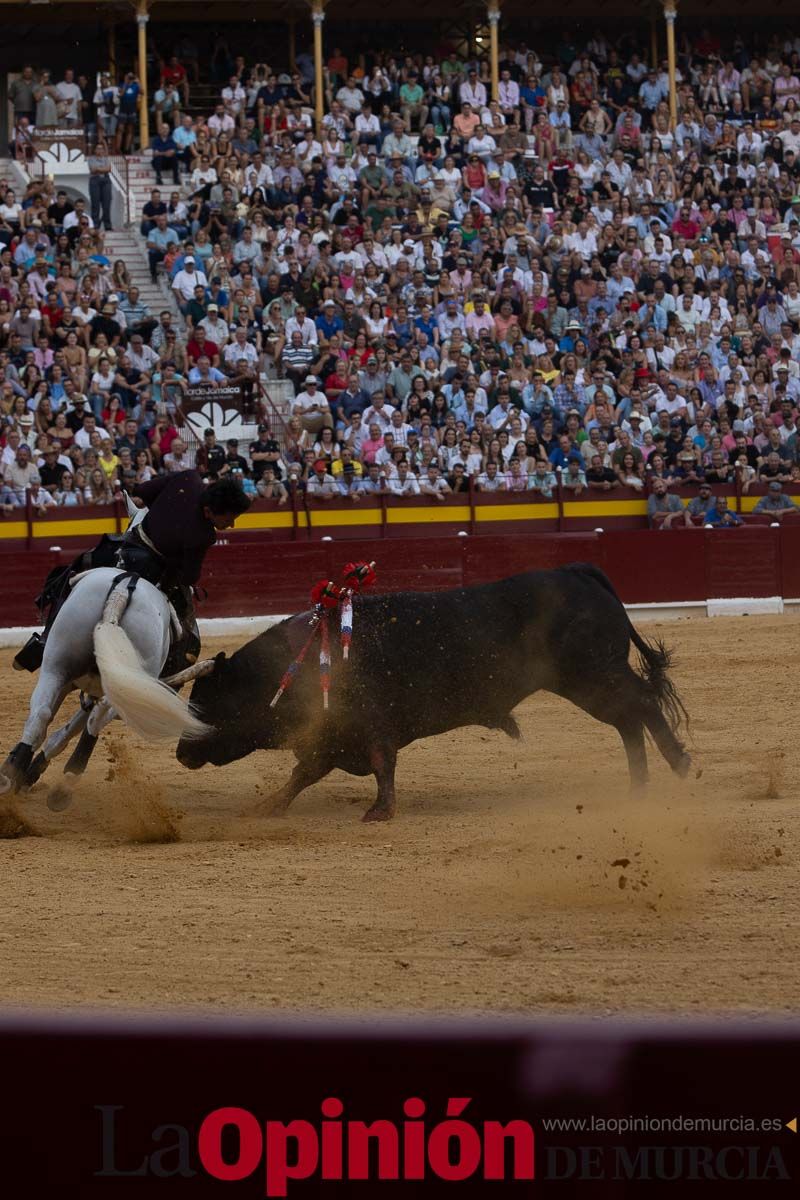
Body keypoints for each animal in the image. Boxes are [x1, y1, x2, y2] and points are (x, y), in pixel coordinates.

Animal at [0, 564, 209, 811]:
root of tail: (122, 591)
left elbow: (59, 733)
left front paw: (25, 776)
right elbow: (63, 733)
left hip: (57, 667)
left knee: (43, 714)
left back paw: (16, 777)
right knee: (91, 721)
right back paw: (62, 784)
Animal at [175, 566, 690, 820]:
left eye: (207, 701)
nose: (181, 752)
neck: (295, 663)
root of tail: (580, 571)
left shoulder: (367, 726)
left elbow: (379, 764)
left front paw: (380, 812)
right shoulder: (333, 736)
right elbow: (303, 774)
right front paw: (268, 807)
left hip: (594, 674)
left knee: (642, 705)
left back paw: (678, 765)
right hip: (590, 682)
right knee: (628, 719)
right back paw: (638, 788)